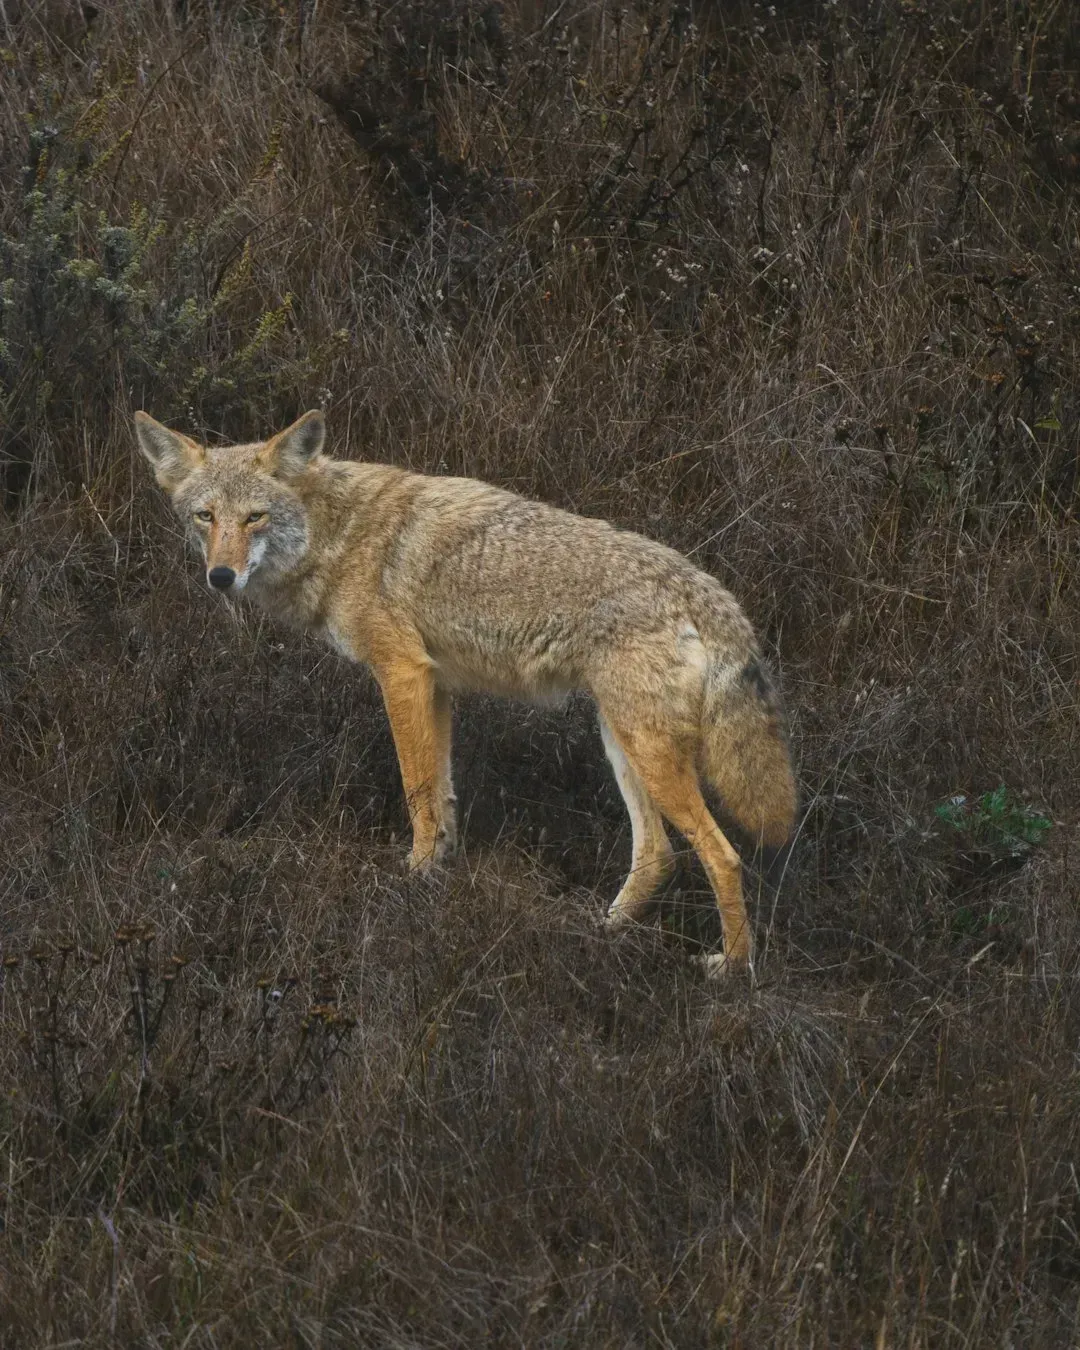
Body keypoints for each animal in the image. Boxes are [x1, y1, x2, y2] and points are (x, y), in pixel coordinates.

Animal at [134, 409, 796, 976]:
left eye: (255, 517)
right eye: (205, 517)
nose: (221, 576)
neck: (337, 534)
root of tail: (710, 594)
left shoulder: (401, 674)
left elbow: (416, 791)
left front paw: (413, 879)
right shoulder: (438, 687)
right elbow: (443, 794)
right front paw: (439, 873)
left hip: (648, 751)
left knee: (722, 855)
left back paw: (732, 969)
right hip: (622, 743)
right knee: (658, 854)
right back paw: (598, 934)